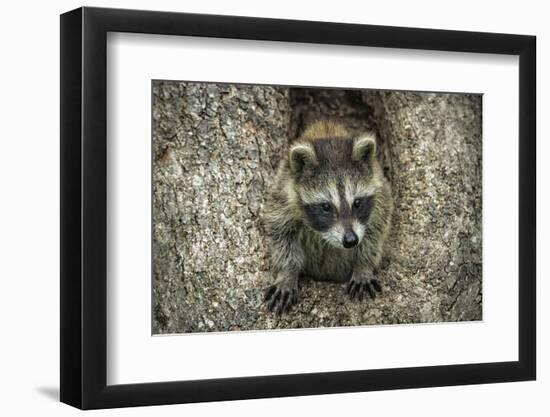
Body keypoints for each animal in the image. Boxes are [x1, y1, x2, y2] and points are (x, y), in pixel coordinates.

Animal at [266, 120, 394, 316]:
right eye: (326, 207)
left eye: (357, 202)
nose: (350, 240)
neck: (328, 133)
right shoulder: (283, 194)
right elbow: (282, 235)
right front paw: (287, 273)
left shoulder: (380, 193)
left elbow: (375, 232)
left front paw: (363, 266)